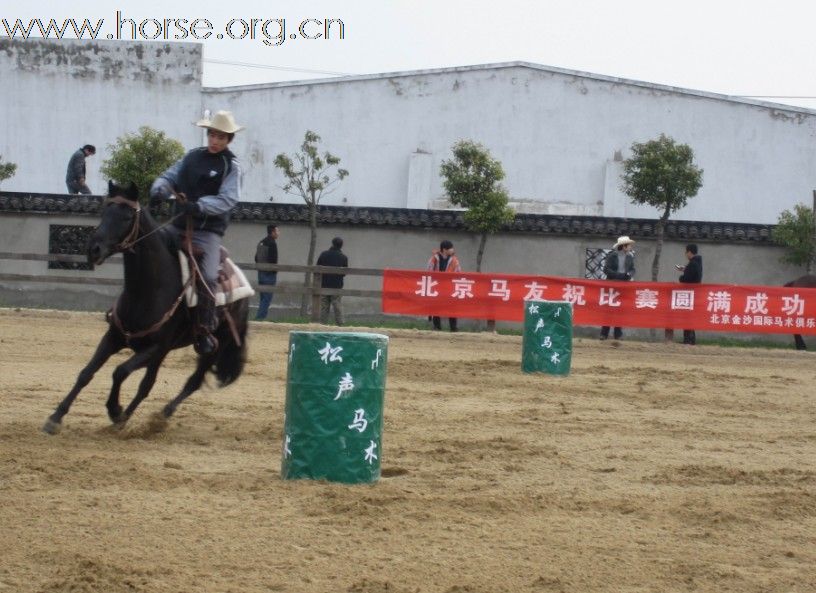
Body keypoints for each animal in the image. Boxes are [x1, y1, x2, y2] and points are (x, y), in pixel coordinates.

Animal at [43, 183, 247, 432]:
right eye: (104, 211)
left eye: (127, 216)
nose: (93, 249)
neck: (148, 290)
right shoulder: (113, 337)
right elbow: (86, 373)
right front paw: (56, 416)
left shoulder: (156, 347)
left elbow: (120, 372)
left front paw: (115, 410)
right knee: (152, 384)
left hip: (213, 346)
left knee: (185, 381)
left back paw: (153, 416)